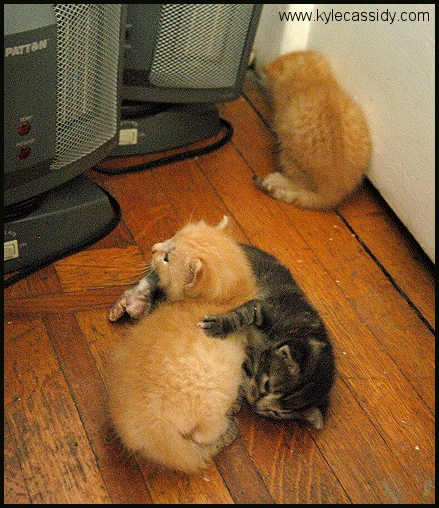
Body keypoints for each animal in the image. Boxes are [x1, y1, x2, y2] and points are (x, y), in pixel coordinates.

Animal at [106, 216, 259, 474]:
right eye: (170, 239)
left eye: (167, 256)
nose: (153, 247)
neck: (226, 298)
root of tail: (155, 434)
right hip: (218, 390)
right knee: (202, 436)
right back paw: (229, 423)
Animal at [110, 242, 335, 430]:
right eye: (267, 385)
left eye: (277, 413)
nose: (256, 406)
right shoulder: (264, 308)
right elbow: (242, 314)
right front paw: (219, 326)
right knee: (156, 276)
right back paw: (137, 299)